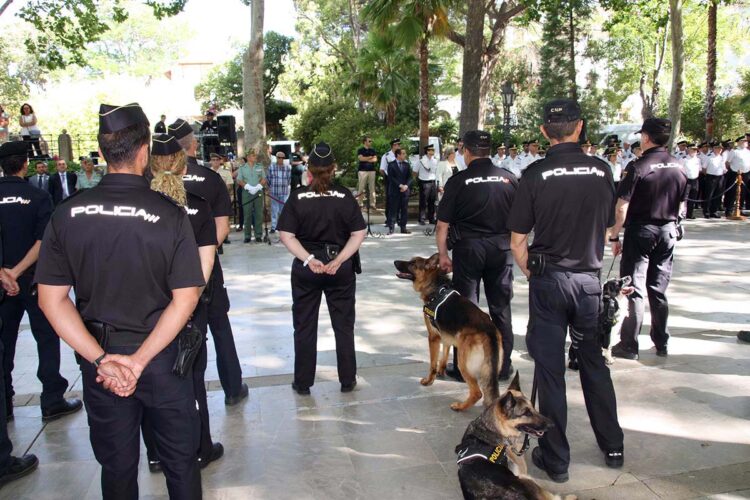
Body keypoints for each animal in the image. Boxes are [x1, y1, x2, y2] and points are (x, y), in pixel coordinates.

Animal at [394, 254, 506, 410]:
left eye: (412, 264)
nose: (395, 262)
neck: (436, 289)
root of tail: (489, 331)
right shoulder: (446, 336)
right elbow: (444, 354)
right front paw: (442, 371)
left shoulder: (433, 337)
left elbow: (433, 364)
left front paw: (429, 381)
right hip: (490, 370)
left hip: (463, 363)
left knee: (477, 392)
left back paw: (460, 406)